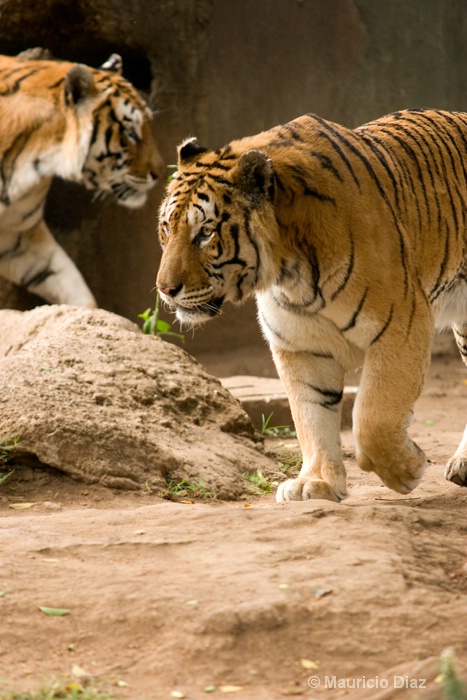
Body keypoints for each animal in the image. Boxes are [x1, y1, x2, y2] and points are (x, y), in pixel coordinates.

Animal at [158, 108, 467, 504]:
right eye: (167, 228)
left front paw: (406, 471)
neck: (290, 272)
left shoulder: (403, 321)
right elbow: (310, 415)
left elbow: (373, 418)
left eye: (206, 233)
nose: (165, 289)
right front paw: (316, 483)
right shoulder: (300, 345)